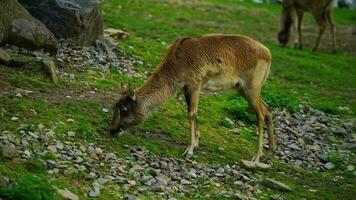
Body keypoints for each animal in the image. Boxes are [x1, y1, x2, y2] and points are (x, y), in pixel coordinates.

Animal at [110, 34, 276, 169]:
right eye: (114, 107)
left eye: (124, 109)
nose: (112, 130)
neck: (176, 65)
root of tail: (268, 53)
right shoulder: (186, 88)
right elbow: (192, 112)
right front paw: (196, 142)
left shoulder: (195, 82)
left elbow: (192, 113)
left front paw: (189, 150)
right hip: (243, 89)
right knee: (268, 109)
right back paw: (272, 150)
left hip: (251, 86)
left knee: (260, 114)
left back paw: (257, 157)